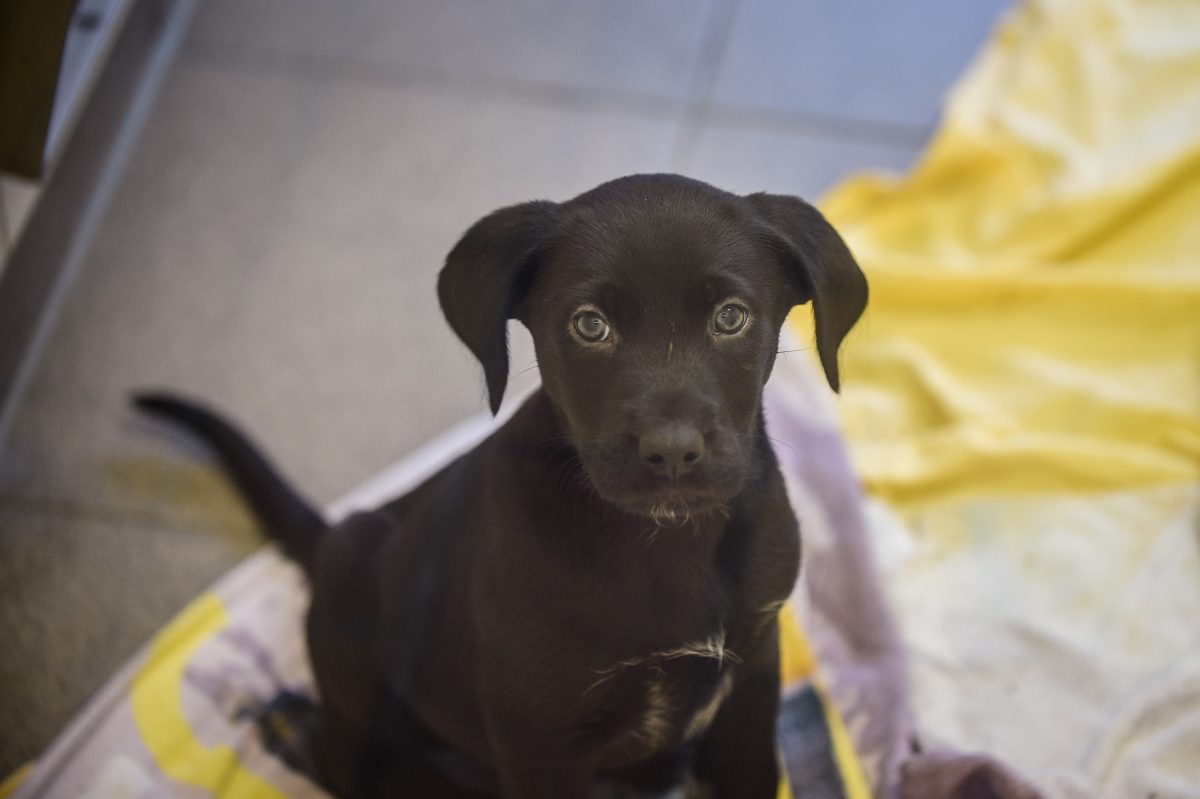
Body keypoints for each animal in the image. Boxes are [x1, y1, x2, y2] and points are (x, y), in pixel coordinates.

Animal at [136, 171, 868, 791]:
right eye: (590, 325)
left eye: (731, 317)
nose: (671, 451)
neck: (667, 539)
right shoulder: (540, 739)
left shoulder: (753, 679)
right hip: (355, 592)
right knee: (351, 764)